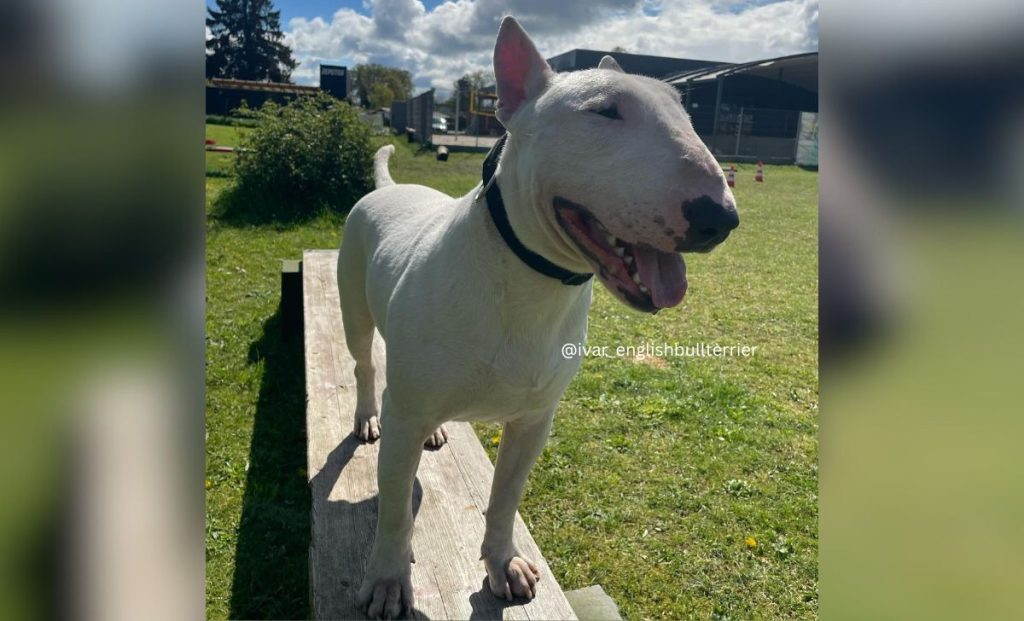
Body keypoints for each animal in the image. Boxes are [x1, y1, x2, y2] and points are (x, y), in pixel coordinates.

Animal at [335, 15, 737, 621]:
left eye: (686, 114)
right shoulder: (405, 415)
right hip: (354, 309)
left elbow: (505, 498)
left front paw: (504, 566)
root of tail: (389, 188)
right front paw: (386, 582)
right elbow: (396, 512)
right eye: (605, 111)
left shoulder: (534, 420)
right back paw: (365, 417)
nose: (720, 217)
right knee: (364, 365)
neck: (531, 284)